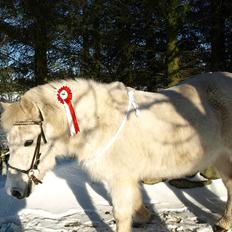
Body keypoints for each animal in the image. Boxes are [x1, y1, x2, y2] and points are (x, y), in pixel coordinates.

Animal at [0, 71, 232, 231]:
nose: (14, 191)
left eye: (29, 142)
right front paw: (143, 215)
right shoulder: (126, 177)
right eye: (9, 142)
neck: (100, 122)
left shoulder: (120, 178)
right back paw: (224, 223)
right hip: (220, 157)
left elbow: (120, 214)